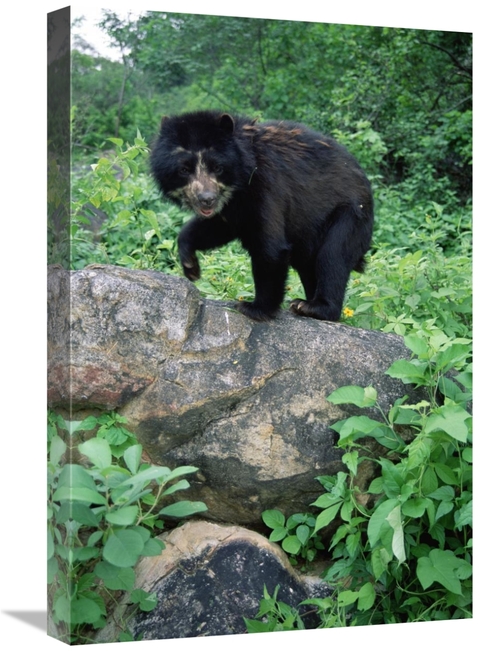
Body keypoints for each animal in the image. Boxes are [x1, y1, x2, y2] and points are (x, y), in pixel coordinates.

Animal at [150, 110, 374, 322]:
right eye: (184, 169)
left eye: (218, 168)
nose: (207, 199)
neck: (241, 180)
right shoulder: (234, 207)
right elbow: (216, 228)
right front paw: (191, 266)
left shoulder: (266, 186)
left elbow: (270, 249)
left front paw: (255, 308)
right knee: (309, 265)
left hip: (350, 216)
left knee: (333, 255)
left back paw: (313, 307)